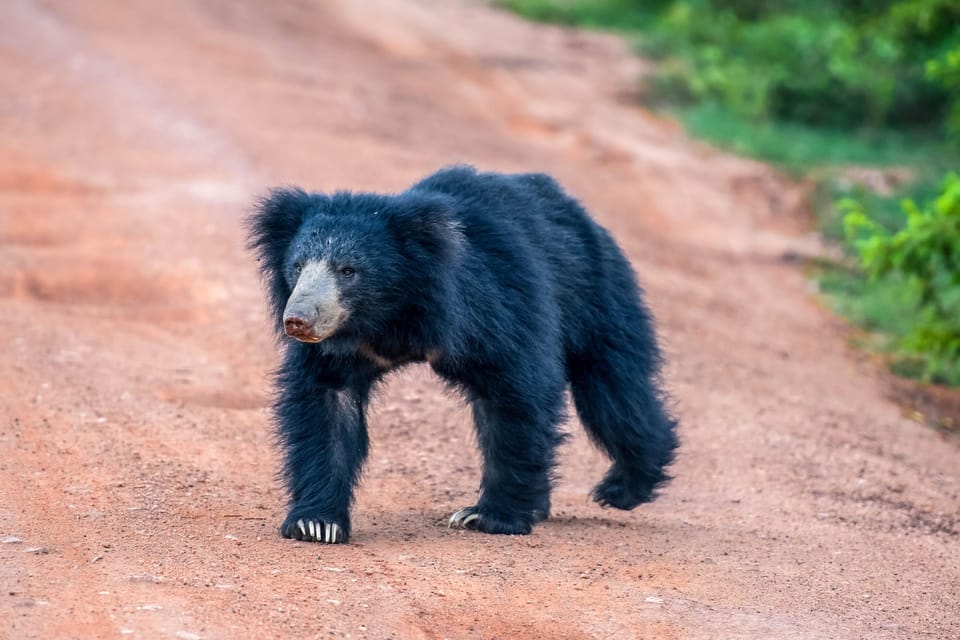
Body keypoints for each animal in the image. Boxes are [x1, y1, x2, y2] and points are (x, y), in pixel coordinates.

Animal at [251, 162, 680, 544]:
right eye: (297, 266)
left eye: (348, 271)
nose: (298, 320)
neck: (391, 317)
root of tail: (579, 213)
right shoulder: (339, 349)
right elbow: (327, 405)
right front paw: (316, 524)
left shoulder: (493, 306)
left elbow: (516, 395)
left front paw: (489, 517)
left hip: (596, 295)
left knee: (613, 393)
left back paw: (622, 488)